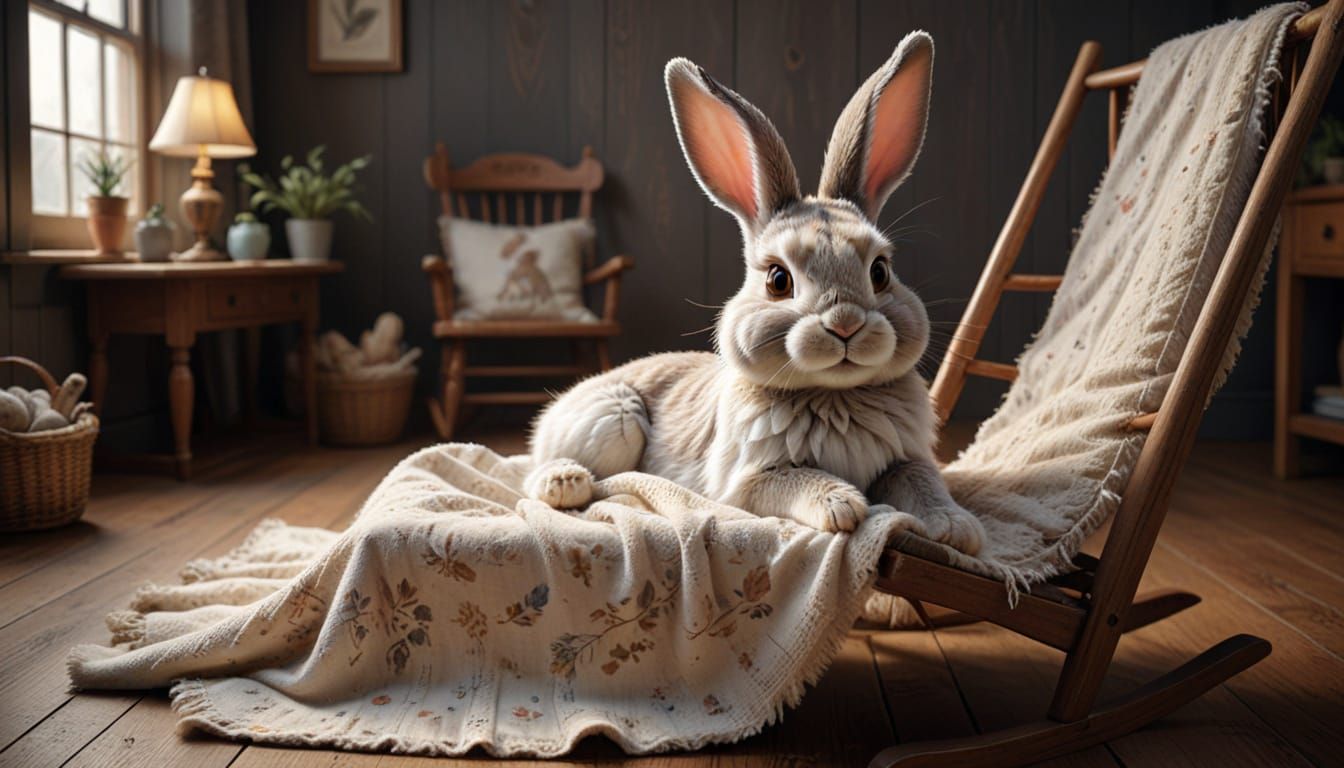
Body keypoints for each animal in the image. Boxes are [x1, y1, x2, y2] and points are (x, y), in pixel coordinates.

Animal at [525, 31, 984, 555]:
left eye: (881, 271)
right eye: (778, 280)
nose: (845, 324)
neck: (834, 394)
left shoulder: (906, 459)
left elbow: (923, 483)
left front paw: (958, 528)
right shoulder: (747, 484)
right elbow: (797, 480)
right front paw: (842, 507)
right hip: (613, 419)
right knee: (535, 472)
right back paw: (565, 482)